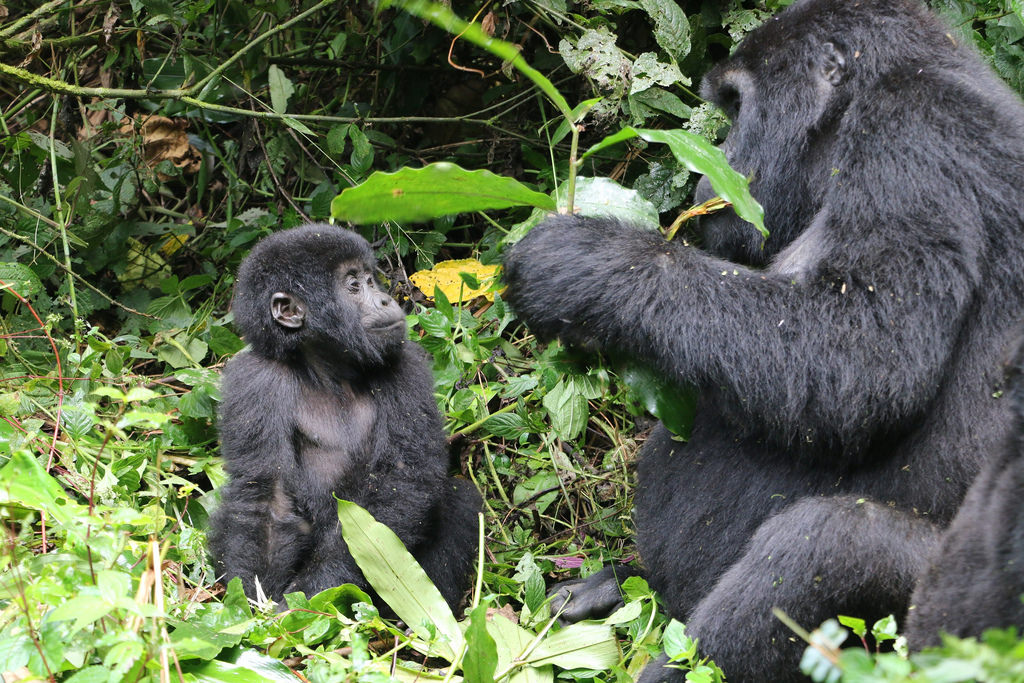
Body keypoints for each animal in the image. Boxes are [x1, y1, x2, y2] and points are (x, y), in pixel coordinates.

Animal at [209, 223, 481, 610]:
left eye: (371, 280)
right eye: (354, 285)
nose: (386, 300)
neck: (325, 368)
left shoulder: (405, 364)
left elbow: (400, 482)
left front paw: (310, 594)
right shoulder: (254, 379)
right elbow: (266, 495)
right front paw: (256, 602)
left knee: (458, 497)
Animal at [501, 0, 1024, 679]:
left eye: (734, 104)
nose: (705, 177)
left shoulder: (917, 130)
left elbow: (864, 361)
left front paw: (589, 266)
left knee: (833, 545)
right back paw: (615, 587)